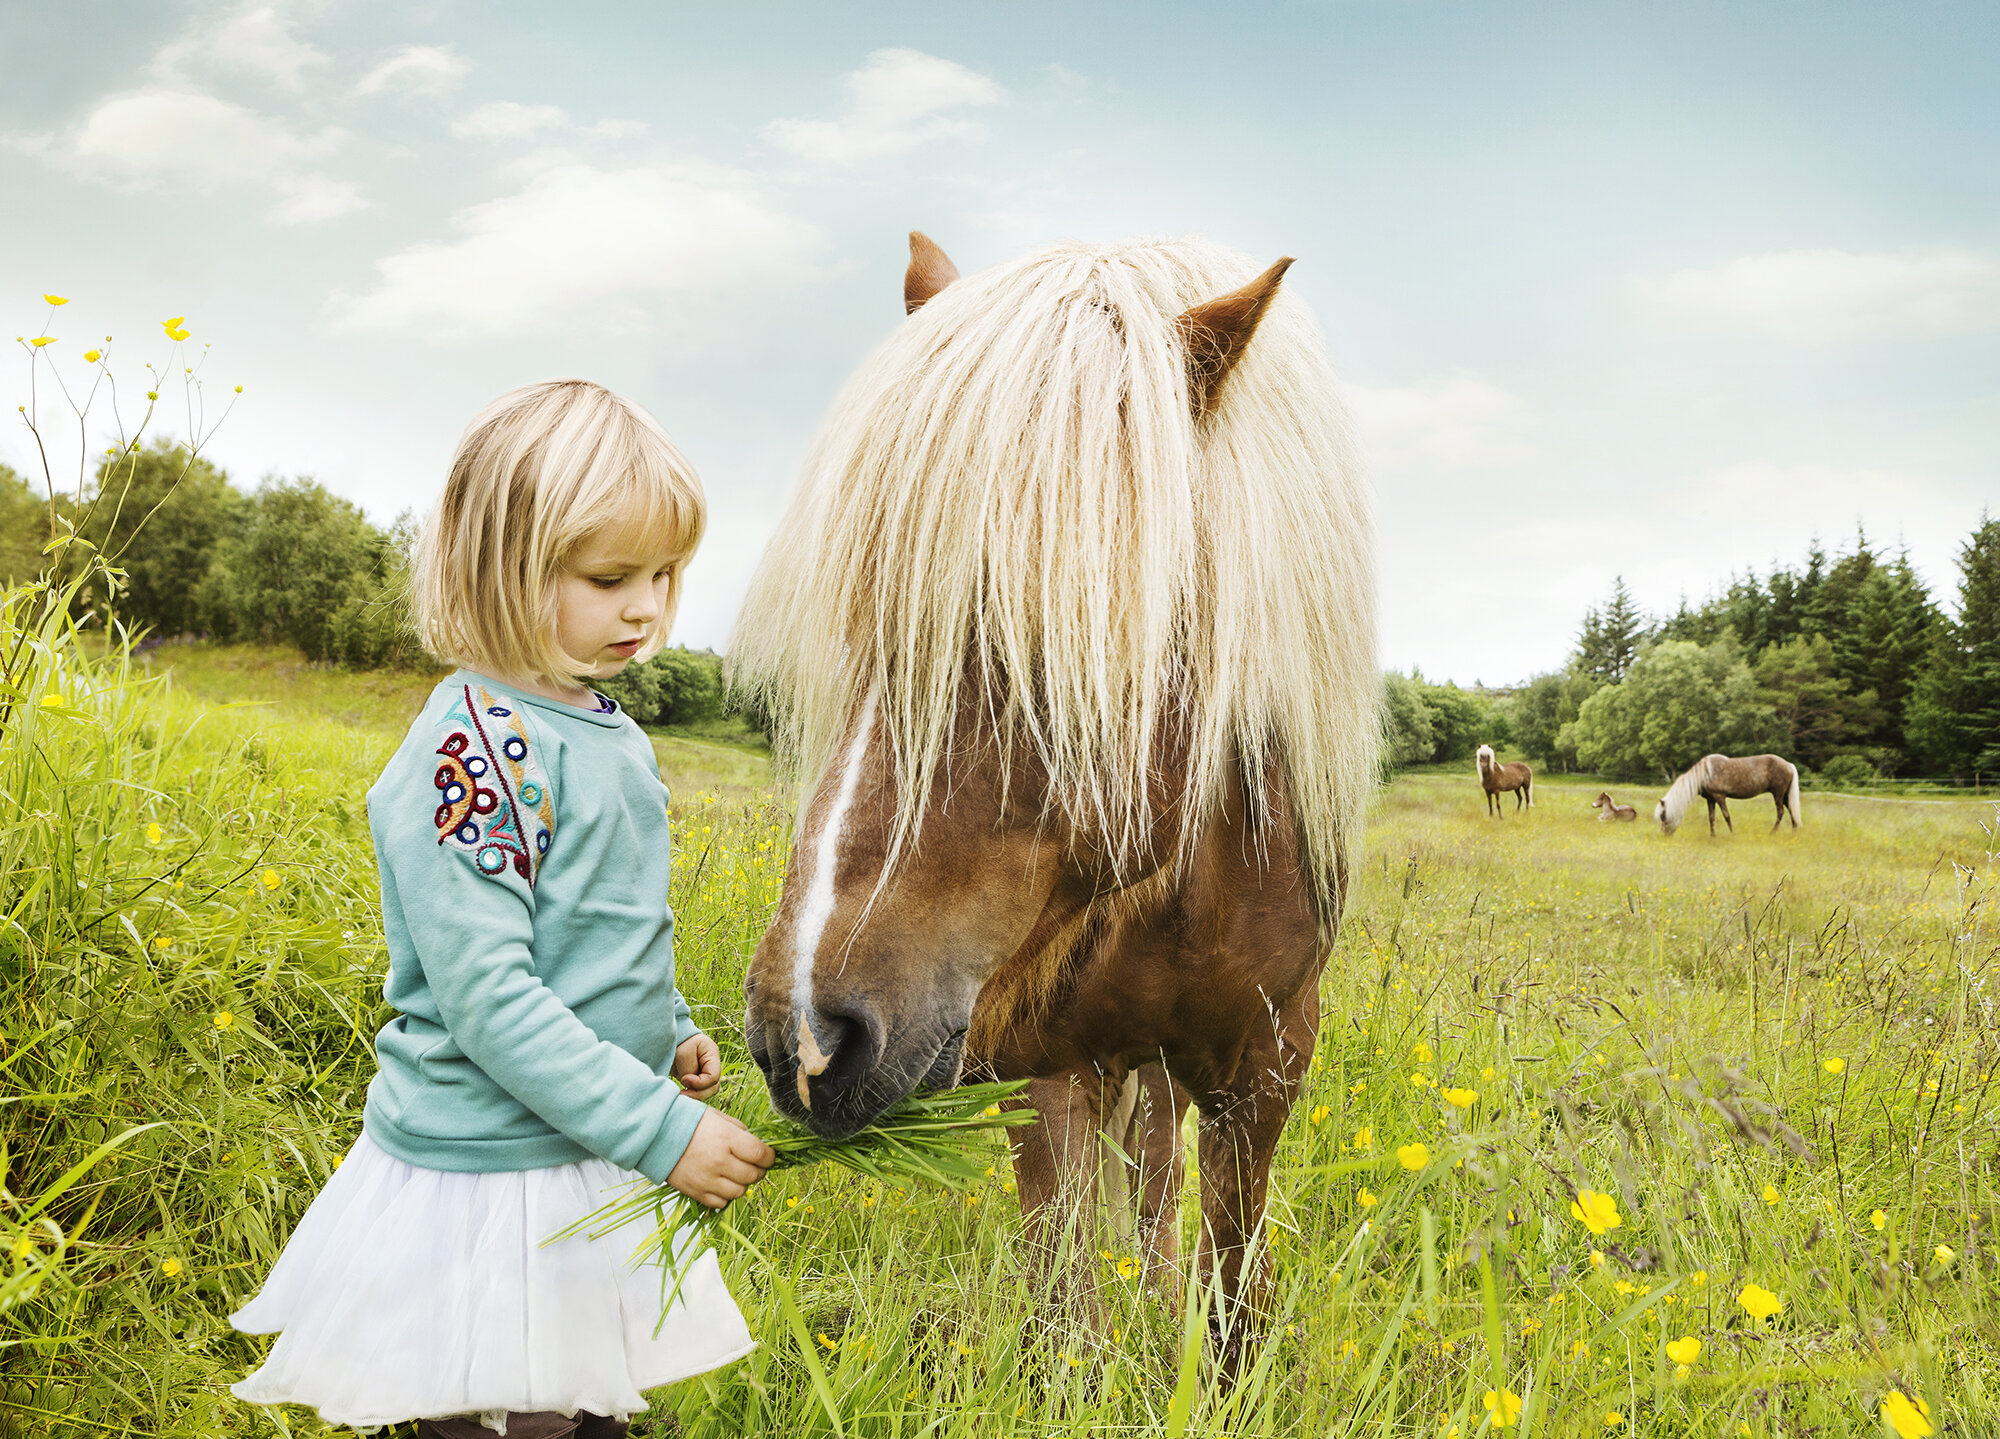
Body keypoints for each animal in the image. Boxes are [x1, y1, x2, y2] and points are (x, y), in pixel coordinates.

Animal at [731, 232, 1376, 1345]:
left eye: (1056, 639)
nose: (806, 1039)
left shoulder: (1267, 1067)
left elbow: (1229, 1303)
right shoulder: (1038, 1063)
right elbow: (1062, 1314)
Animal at [1655, 754, 1802, 835]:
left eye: (1663, 816)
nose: (1664, 835)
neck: (1705, 773)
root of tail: (1789, 764)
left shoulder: (1720, 797)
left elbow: (1726, 816)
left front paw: (1732, 834)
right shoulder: (1711, 799)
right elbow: (1711, 818)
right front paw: (1712, 836)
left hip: (1778, 794)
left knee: (1781, 812)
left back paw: (1772, 833)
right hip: (1785, 795)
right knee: (1791, 810)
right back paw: (1794, 831)